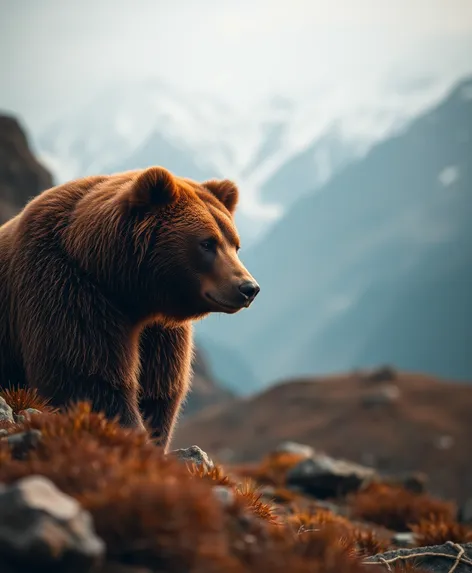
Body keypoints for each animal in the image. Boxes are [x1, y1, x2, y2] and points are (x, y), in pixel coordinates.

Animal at [0, 168, 258, 450]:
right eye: (207, 243)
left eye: (235, 244)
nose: (248, 287)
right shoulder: (68, 289)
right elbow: (87, 374)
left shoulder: (160, 330)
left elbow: (158, 389)